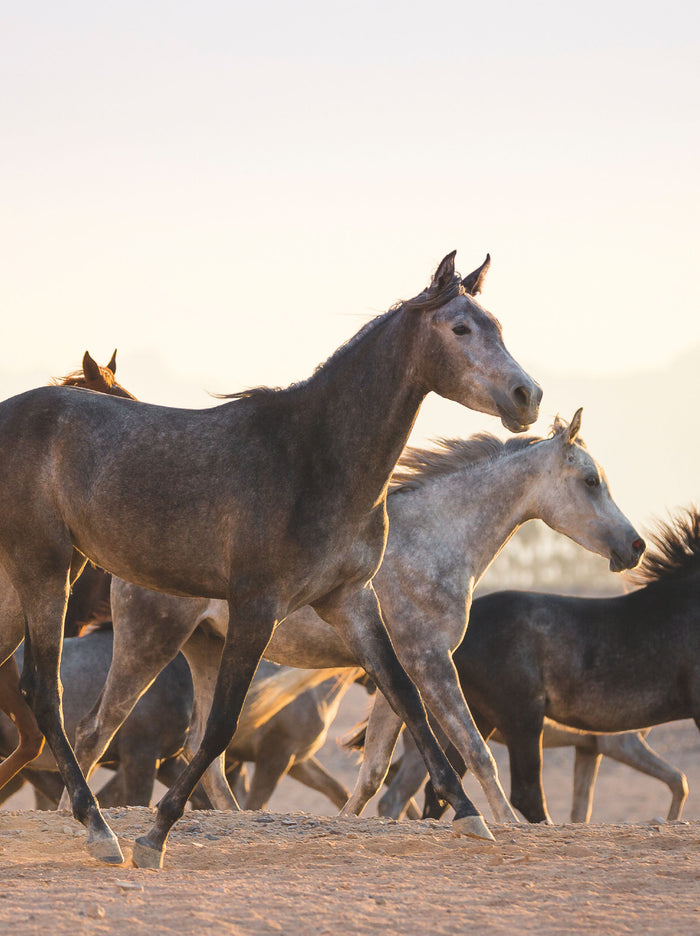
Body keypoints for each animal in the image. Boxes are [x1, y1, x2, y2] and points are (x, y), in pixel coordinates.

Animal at [72, 408, 643, 836]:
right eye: (590, 480)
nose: (634, 546)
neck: (434, 540)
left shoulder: (398, 668)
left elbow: (371, 774)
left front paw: (347, 823)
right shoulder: (429, 660)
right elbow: (476, 751)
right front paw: (503, 824)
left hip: (208, 650)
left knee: (200, 748)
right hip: (150, 642)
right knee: (94, 732)